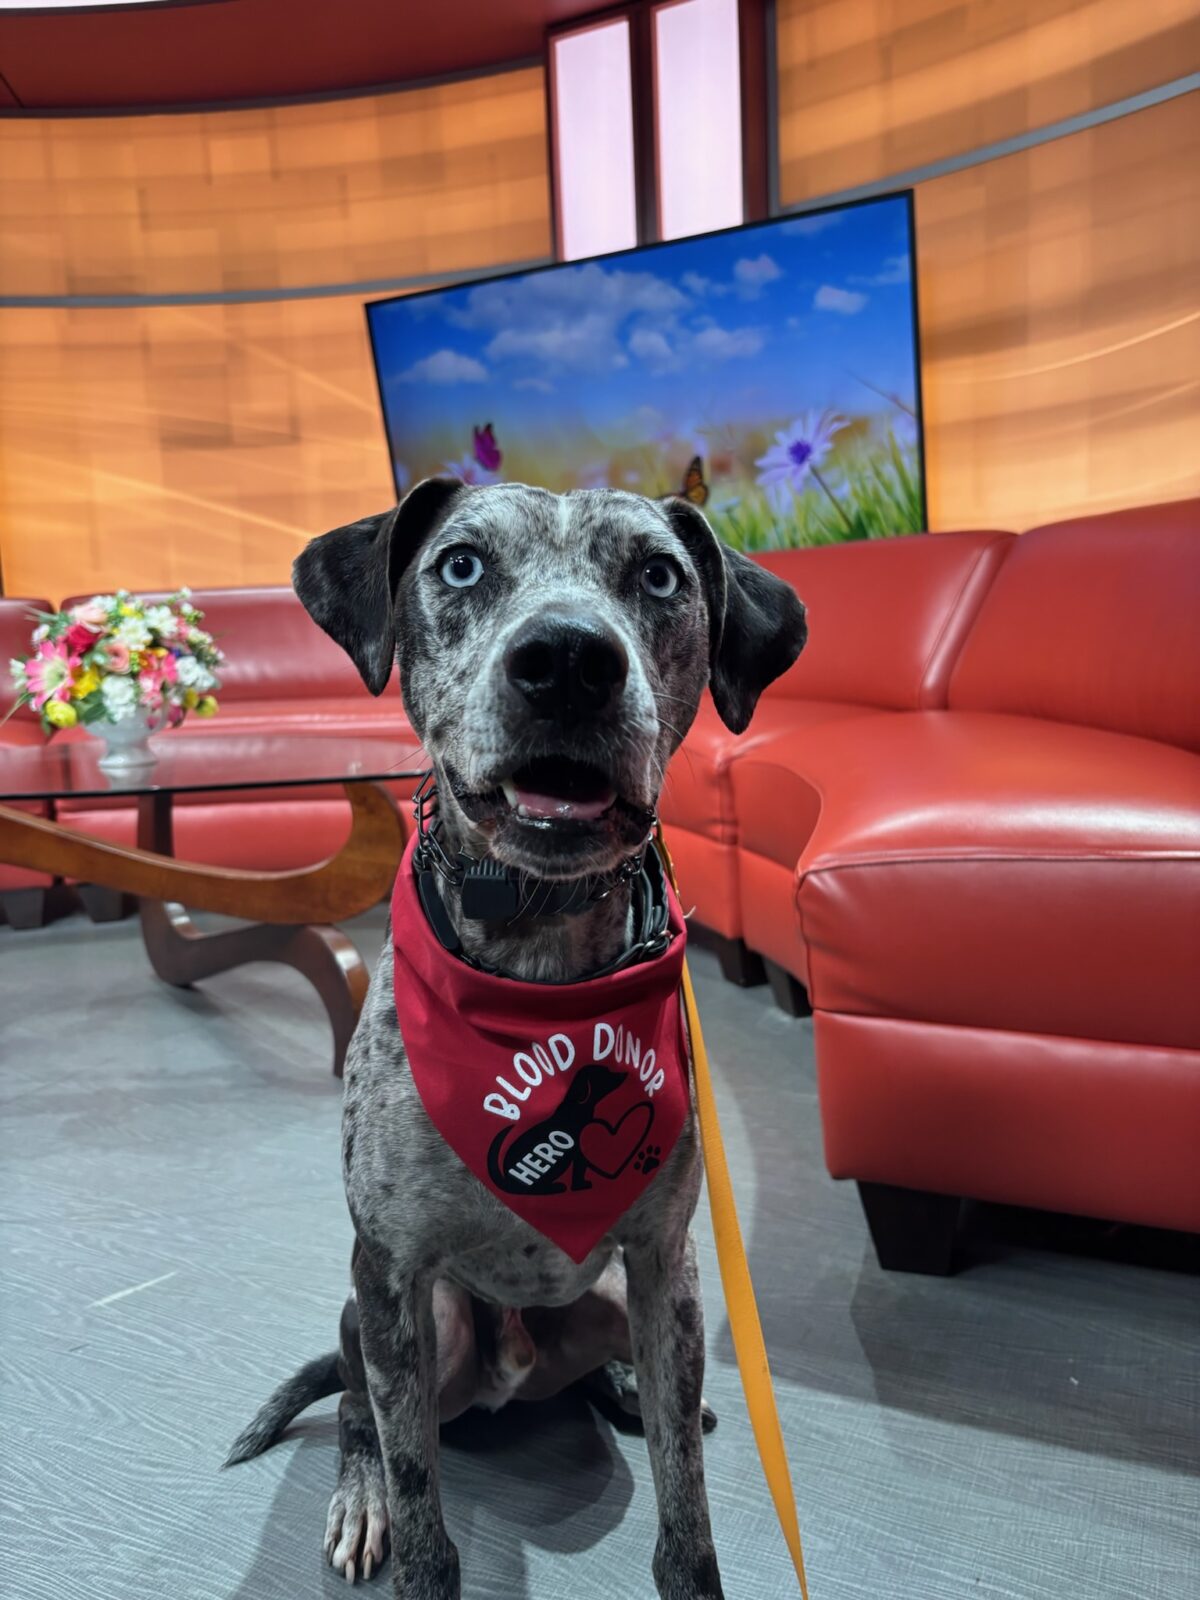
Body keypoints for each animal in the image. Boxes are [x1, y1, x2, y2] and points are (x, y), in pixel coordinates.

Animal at [226, 479, 807, 1599]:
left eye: (658, 574)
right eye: (459, 564)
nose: (570, 660)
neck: (537, 943)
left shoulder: (665, 1264)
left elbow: (686, 1512)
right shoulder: (390, 1274)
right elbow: (421, 1506)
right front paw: (398, 1520)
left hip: (617, 1296)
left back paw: (622, 1387)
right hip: (404, 1326)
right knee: (356, 1407)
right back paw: (359, 1490)